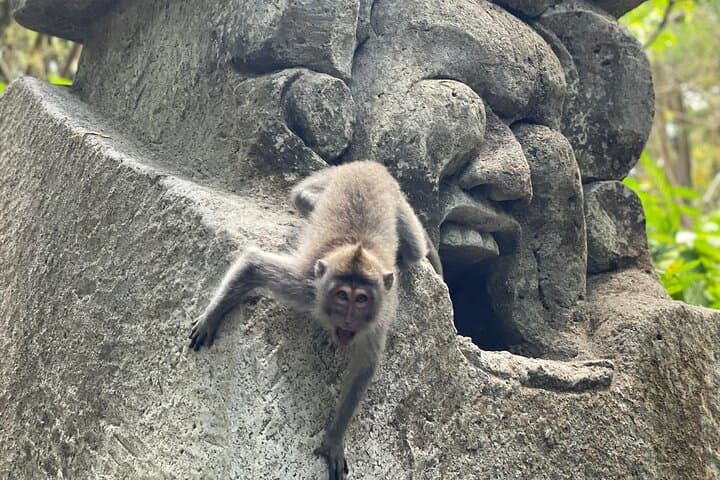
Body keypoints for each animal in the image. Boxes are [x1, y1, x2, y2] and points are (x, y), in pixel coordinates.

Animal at [189, 160, 439, 480]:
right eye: (342, 296)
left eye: (361, 299)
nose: (348, 319)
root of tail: (371, 164)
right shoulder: (306, 286)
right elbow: (254, 266)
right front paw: (212, 316)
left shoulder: (378, 317)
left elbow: (365, 365)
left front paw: (334, 438)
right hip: (334, 177)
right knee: (302, 196)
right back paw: (310, 202)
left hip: (397, 201)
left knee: (414, 248)